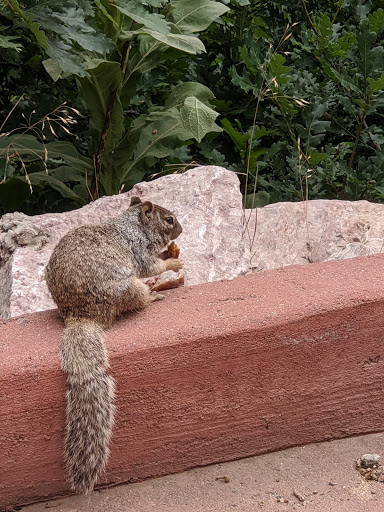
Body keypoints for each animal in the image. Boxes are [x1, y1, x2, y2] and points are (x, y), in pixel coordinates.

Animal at [45, 195, 183, 492]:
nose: (180, 231)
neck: (133, 224)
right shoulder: (139, 251)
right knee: (139, 299)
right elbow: (152, 266)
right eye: (169, 220)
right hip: (130, 288)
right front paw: (173, 264)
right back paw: (154, 294)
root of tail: (81, 317)